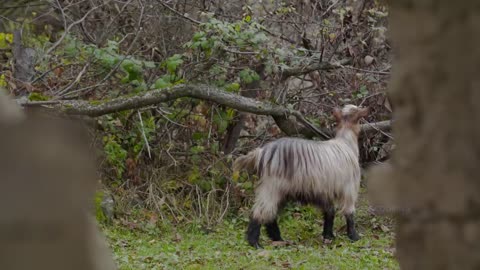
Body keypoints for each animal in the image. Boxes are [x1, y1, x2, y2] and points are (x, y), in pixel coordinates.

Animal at [234, 104, 370, 248]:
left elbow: (329, 212)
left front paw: (328, 236)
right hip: (272, 187)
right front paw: (354, 237)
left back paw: (278, 239)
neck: (346, 143)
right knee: (260, 212)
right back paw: (255, 242)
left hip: (280, 191)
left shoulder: (326, 192)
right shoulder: (349, 189)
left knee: (271, 214)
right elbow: (349, 214)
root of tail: (260, 152)